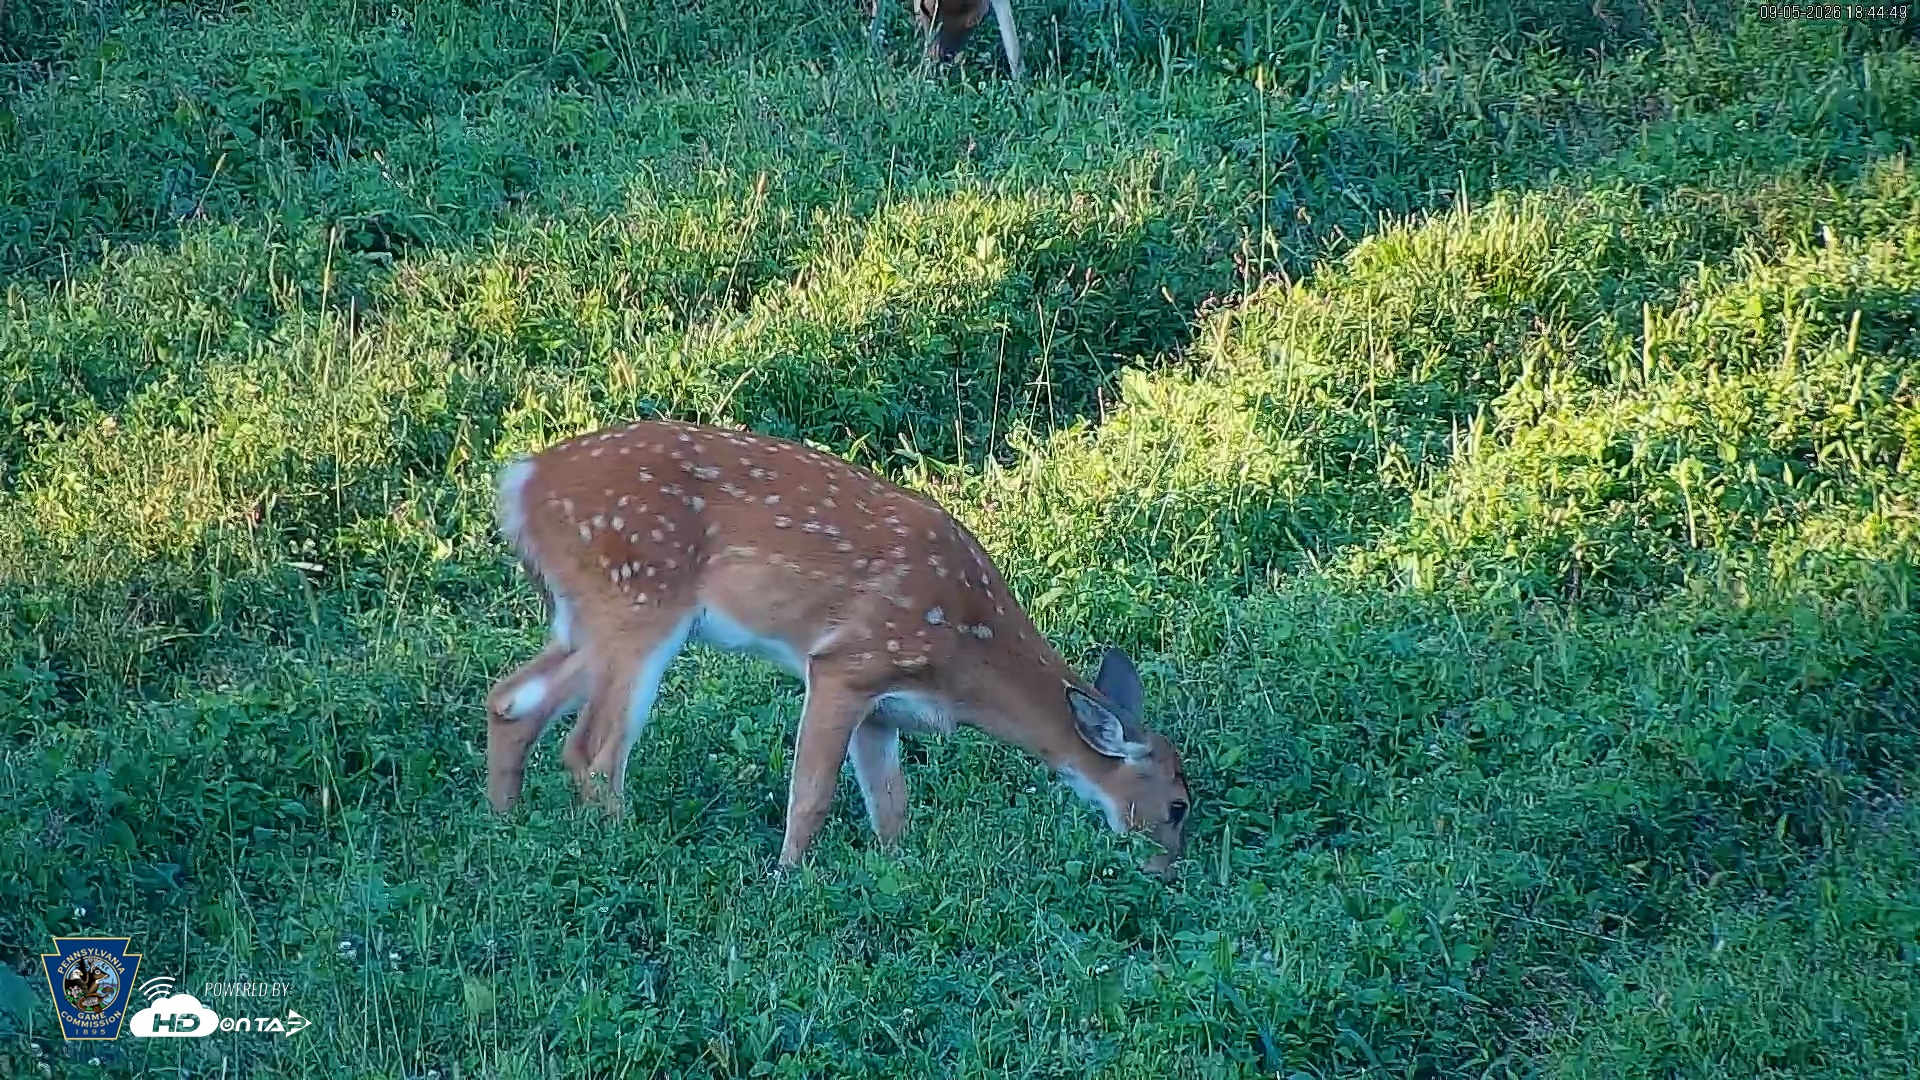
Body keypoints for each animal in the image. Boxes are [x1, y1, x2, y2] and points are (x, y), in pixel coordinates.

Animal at [482, 419, 1190, 879]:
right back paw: (637, 851)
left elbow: (891, 806)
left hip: (589, 615)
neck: (966, 658)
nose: (1165, 871)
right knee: (593, 748)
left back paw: (507, 827)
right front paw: (787, 881)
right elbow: (813, 795)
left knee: (510, 699)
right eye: (1179, 806)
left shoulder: (881, 705)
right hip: (639, 600)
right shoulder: (849, 661)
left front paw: (895, 875)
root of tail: (520, 481)